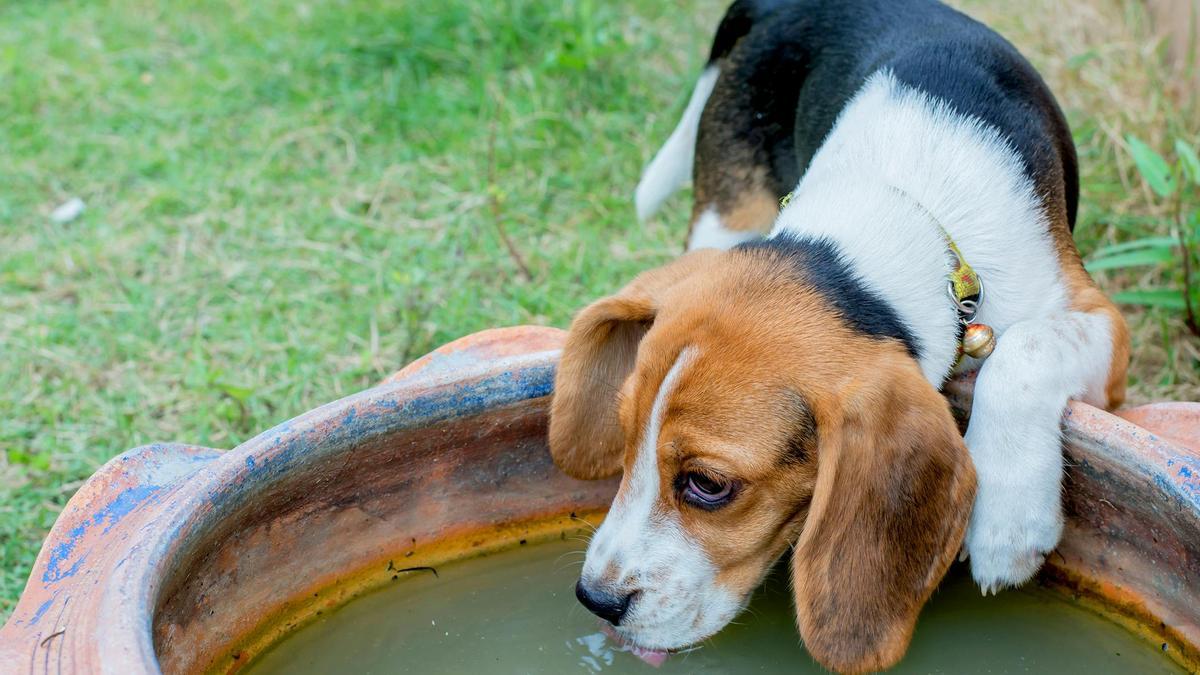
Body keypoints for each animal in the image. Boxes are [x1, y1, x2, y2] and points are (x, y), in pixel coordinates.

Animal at [549, 0, 1128, 667]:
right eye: (623, 439)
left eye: (708, 485)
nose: (595, 600)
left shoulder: (1099, 322)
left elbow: (1022, 351)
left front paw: (1009, 521)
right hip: (724, 216)